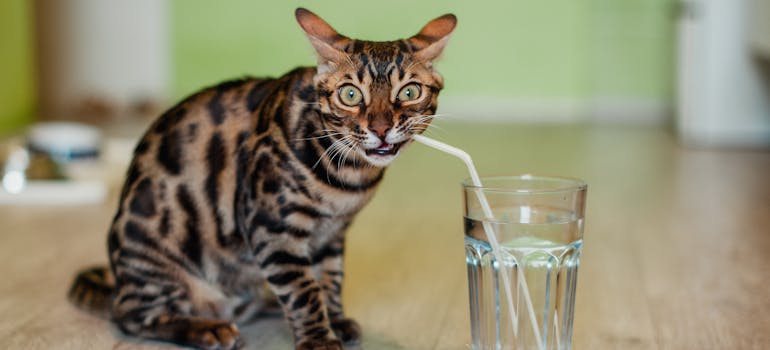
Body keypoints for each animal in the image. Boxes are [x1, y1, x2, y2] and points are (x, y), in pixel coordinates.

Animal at [69, 8, 452, 350]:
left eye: (409, 92)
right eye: (350, 95)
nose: (381, 128)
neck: (348, 177)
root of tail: (118, 282)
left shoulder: (331, 234)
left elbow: (329, 279)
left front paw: (334, 319)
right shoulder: (272, 227)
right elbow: (303, 292)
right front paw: (318, 339)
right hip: (156, 259)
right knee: (131, 316)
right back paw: (206, 329)